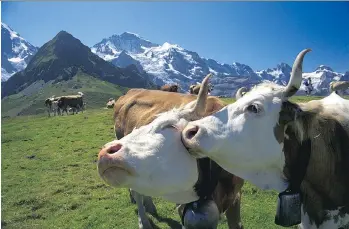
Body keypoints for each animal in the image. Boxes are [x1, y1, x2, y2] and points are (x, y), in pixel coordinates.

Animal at [96, 74, 243, 229]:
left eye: (170, 126)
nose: (105, 151)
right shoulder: (183, 206)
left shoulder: (235, 197)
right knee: (136, 192)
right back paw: (144, 221)